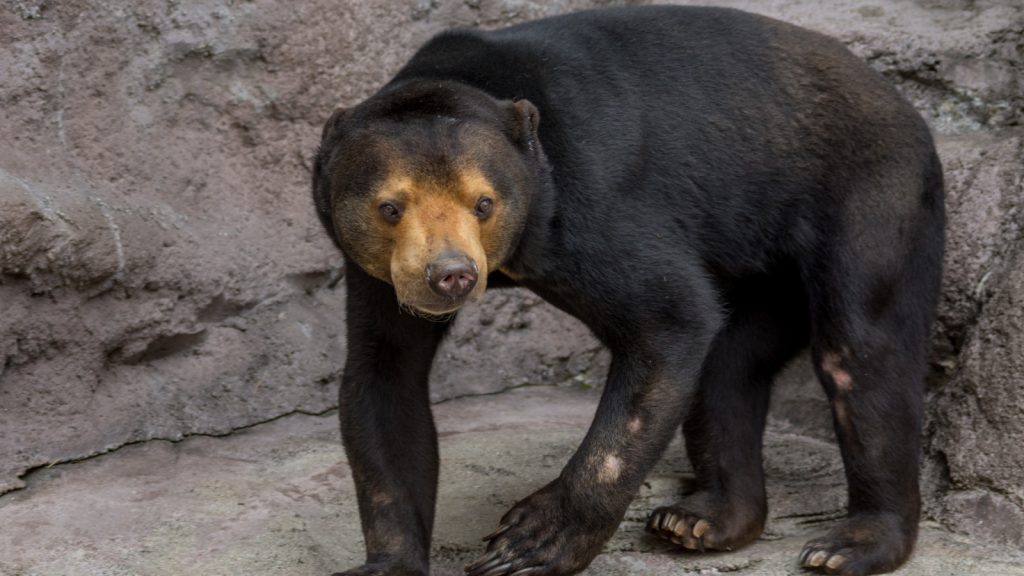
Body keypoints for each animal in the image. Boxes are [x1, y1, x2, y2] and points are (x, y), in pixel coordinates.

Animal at [309, 5, 942, 573]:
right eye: (390, 207)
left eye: (483, 203)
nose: (452, 274)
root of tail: (906, 106)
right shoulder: (377, 271)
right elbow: (385, 378)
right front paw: (388, 563)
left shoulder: (589, 201)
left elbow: (670, 319)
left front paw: (530, 543)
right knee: (730, 364)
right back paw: (703, 518)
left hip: (872, 197)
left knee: (859, 353)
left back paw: (850, 545)